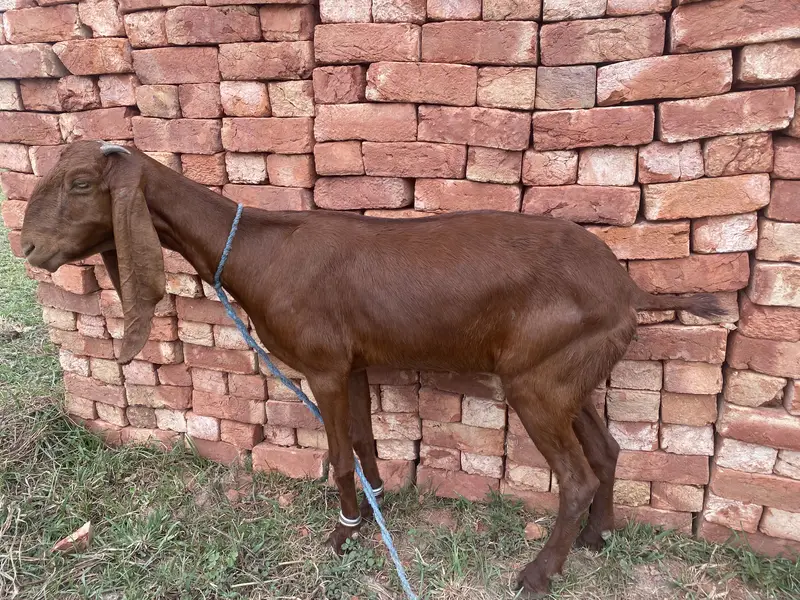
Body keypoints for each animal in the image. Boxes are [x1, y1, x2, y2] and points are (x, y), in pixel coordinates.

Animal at [21, 140, 723, 596]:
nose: (28, 248)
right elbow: (361, 438)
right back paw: (596, 538)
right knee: (606, 453)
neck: (258, 251)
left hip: (538, 384)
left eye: (81, 183)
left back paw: (538, 574)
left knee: (576, 476)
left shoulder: (323, 368)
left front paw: (344, 532)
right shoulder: (353, 364)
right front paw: (377, 502)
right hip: (569, 373)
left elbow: (336, 454)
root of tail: (630, 291)